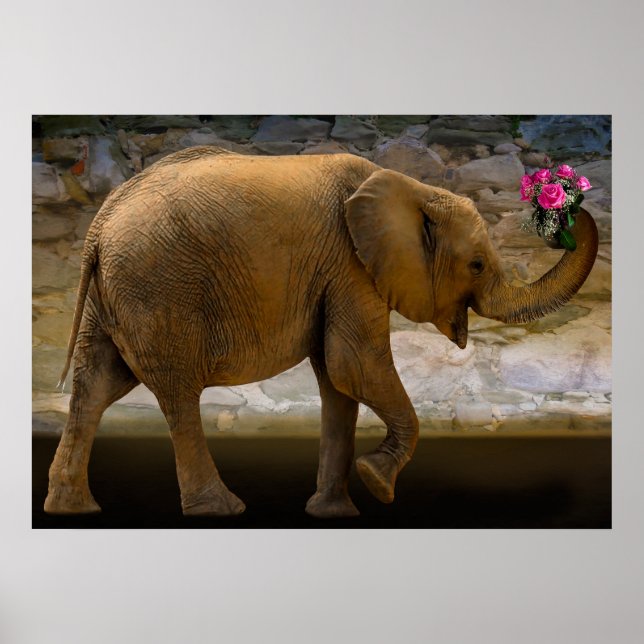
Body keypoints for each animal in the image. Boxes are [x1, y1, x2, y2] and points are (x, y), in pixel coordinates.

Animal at [44, 146, 599, 519]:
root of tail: (99, 227)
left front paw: (335, 512)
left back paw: (71, 508)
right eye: (477, 265)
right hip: (159, 289)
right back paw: (221, 509)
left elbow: (338, 382)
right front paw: (378, 484)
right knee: (176, 393)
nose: (562, 194)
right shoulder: (350, 266)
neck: (414, 189)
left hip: (113, 294)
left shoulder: (335, 274)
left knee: (97, 385)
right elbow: (354, 365)